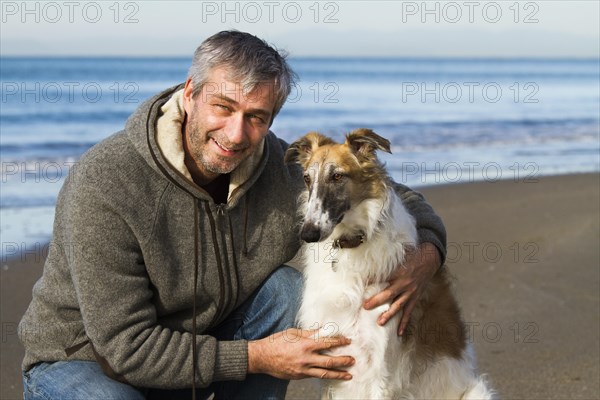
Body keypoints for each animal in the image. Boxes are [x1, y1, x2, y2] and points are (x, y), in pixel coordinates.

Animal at [286, 130, 496, 398]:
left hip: (476, 391)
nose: (308, 233)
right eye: (306, 178)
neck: (353, 243)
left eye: (337, 176)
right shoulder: (330, 361)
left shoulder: (380, 367)